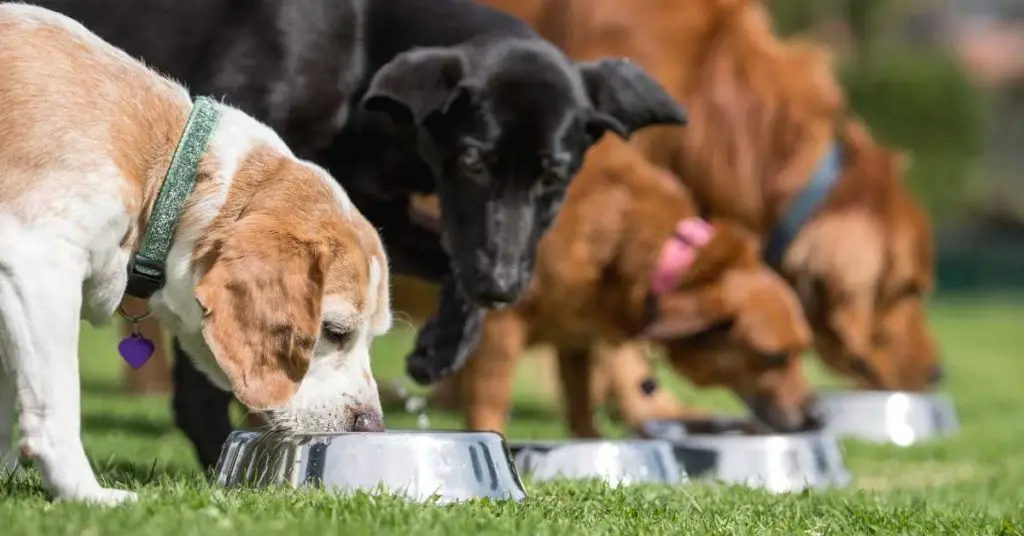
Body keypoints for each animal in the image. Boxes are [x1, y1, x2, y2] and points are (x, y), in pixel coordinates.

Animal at [0, 4, 391, 506]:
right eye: (335, 332)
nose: (373, 427)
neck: (165, 165)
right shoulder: (38, 264)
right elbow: (57, 403)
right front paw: (86, 494)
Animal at [25, 0, 688, 469]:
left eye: (555, 176)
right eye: (474, 162)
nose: (502, 285)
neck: (361, 42)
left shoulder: (371, 203)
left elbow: (446, 259)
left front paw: (444, 343)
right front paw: (222, 450)